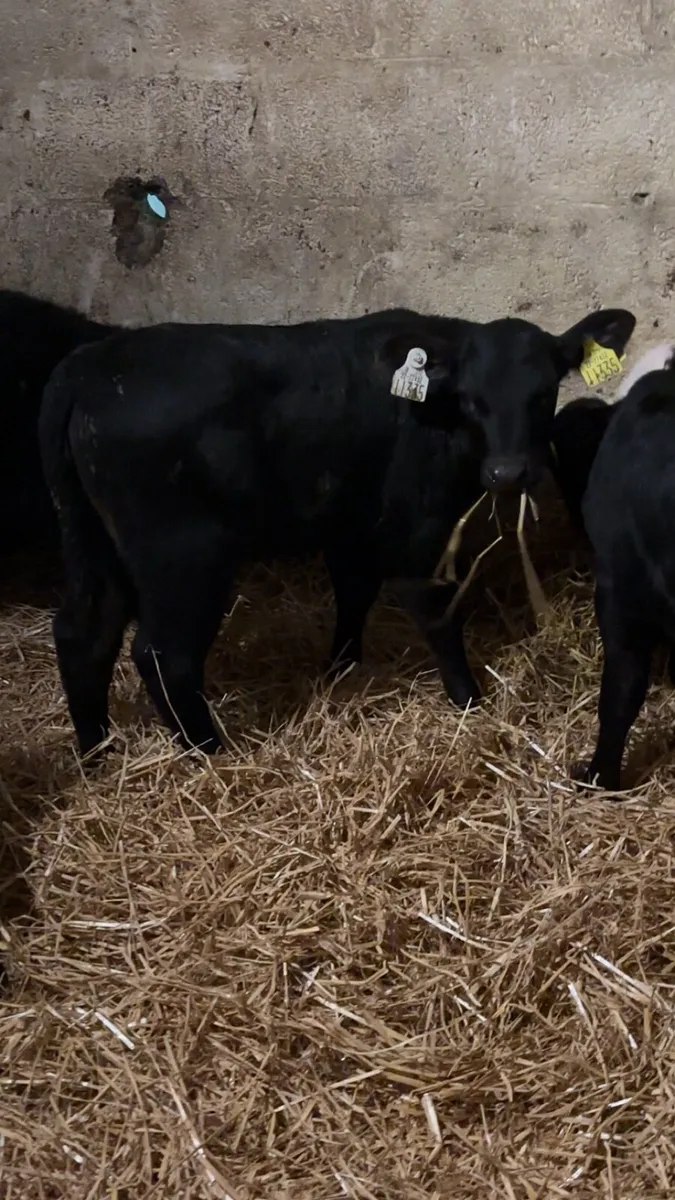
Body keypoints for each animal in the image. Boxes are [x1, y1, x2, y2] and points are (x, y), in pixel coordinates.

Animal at [38, 305, 635, 758]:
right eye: (471, 399)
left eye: (544, 392)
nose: (509, 472)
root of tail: (91, 365)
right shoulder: (419, 532)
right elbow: (438, 613)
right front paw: (468, 697)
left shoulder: (351, 525)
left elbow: (352, 595)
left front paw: (341, 670)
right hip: (183, 555)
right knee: (162, 654)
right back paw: (209, 751)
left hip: (93, 538)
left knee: (83, 633)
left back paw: (95, 751)